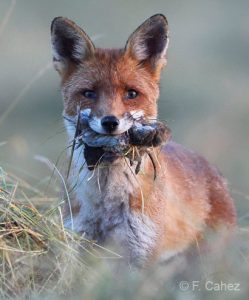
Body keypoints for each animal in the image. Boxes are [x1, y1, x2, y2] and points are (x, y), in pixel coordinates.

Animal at [50, 15, 235, 266]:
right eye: (89, 93)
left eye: (131, 94)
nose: (110, 122)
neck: (106, 203)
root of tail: (214, 171)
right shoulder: (78, 243)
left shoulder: (140, 254)